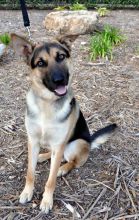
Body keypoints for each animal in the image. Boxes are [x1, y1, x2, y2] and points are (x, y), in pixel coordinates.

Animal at [10, 33, 116, 214]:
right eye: (40, 63)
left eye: (60, 57)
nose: (60, 80)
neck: (47, 103)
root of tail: (90, 141)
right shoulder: (33, 141)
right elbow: (30, 173)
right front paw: (27, 192)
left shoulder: (59, 144)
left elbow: (51, 180)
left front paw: (46, 201)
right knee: (53, 155)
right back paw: (43, 156)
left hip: (75, 144)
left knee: (72, 162)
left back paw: (62, 168)